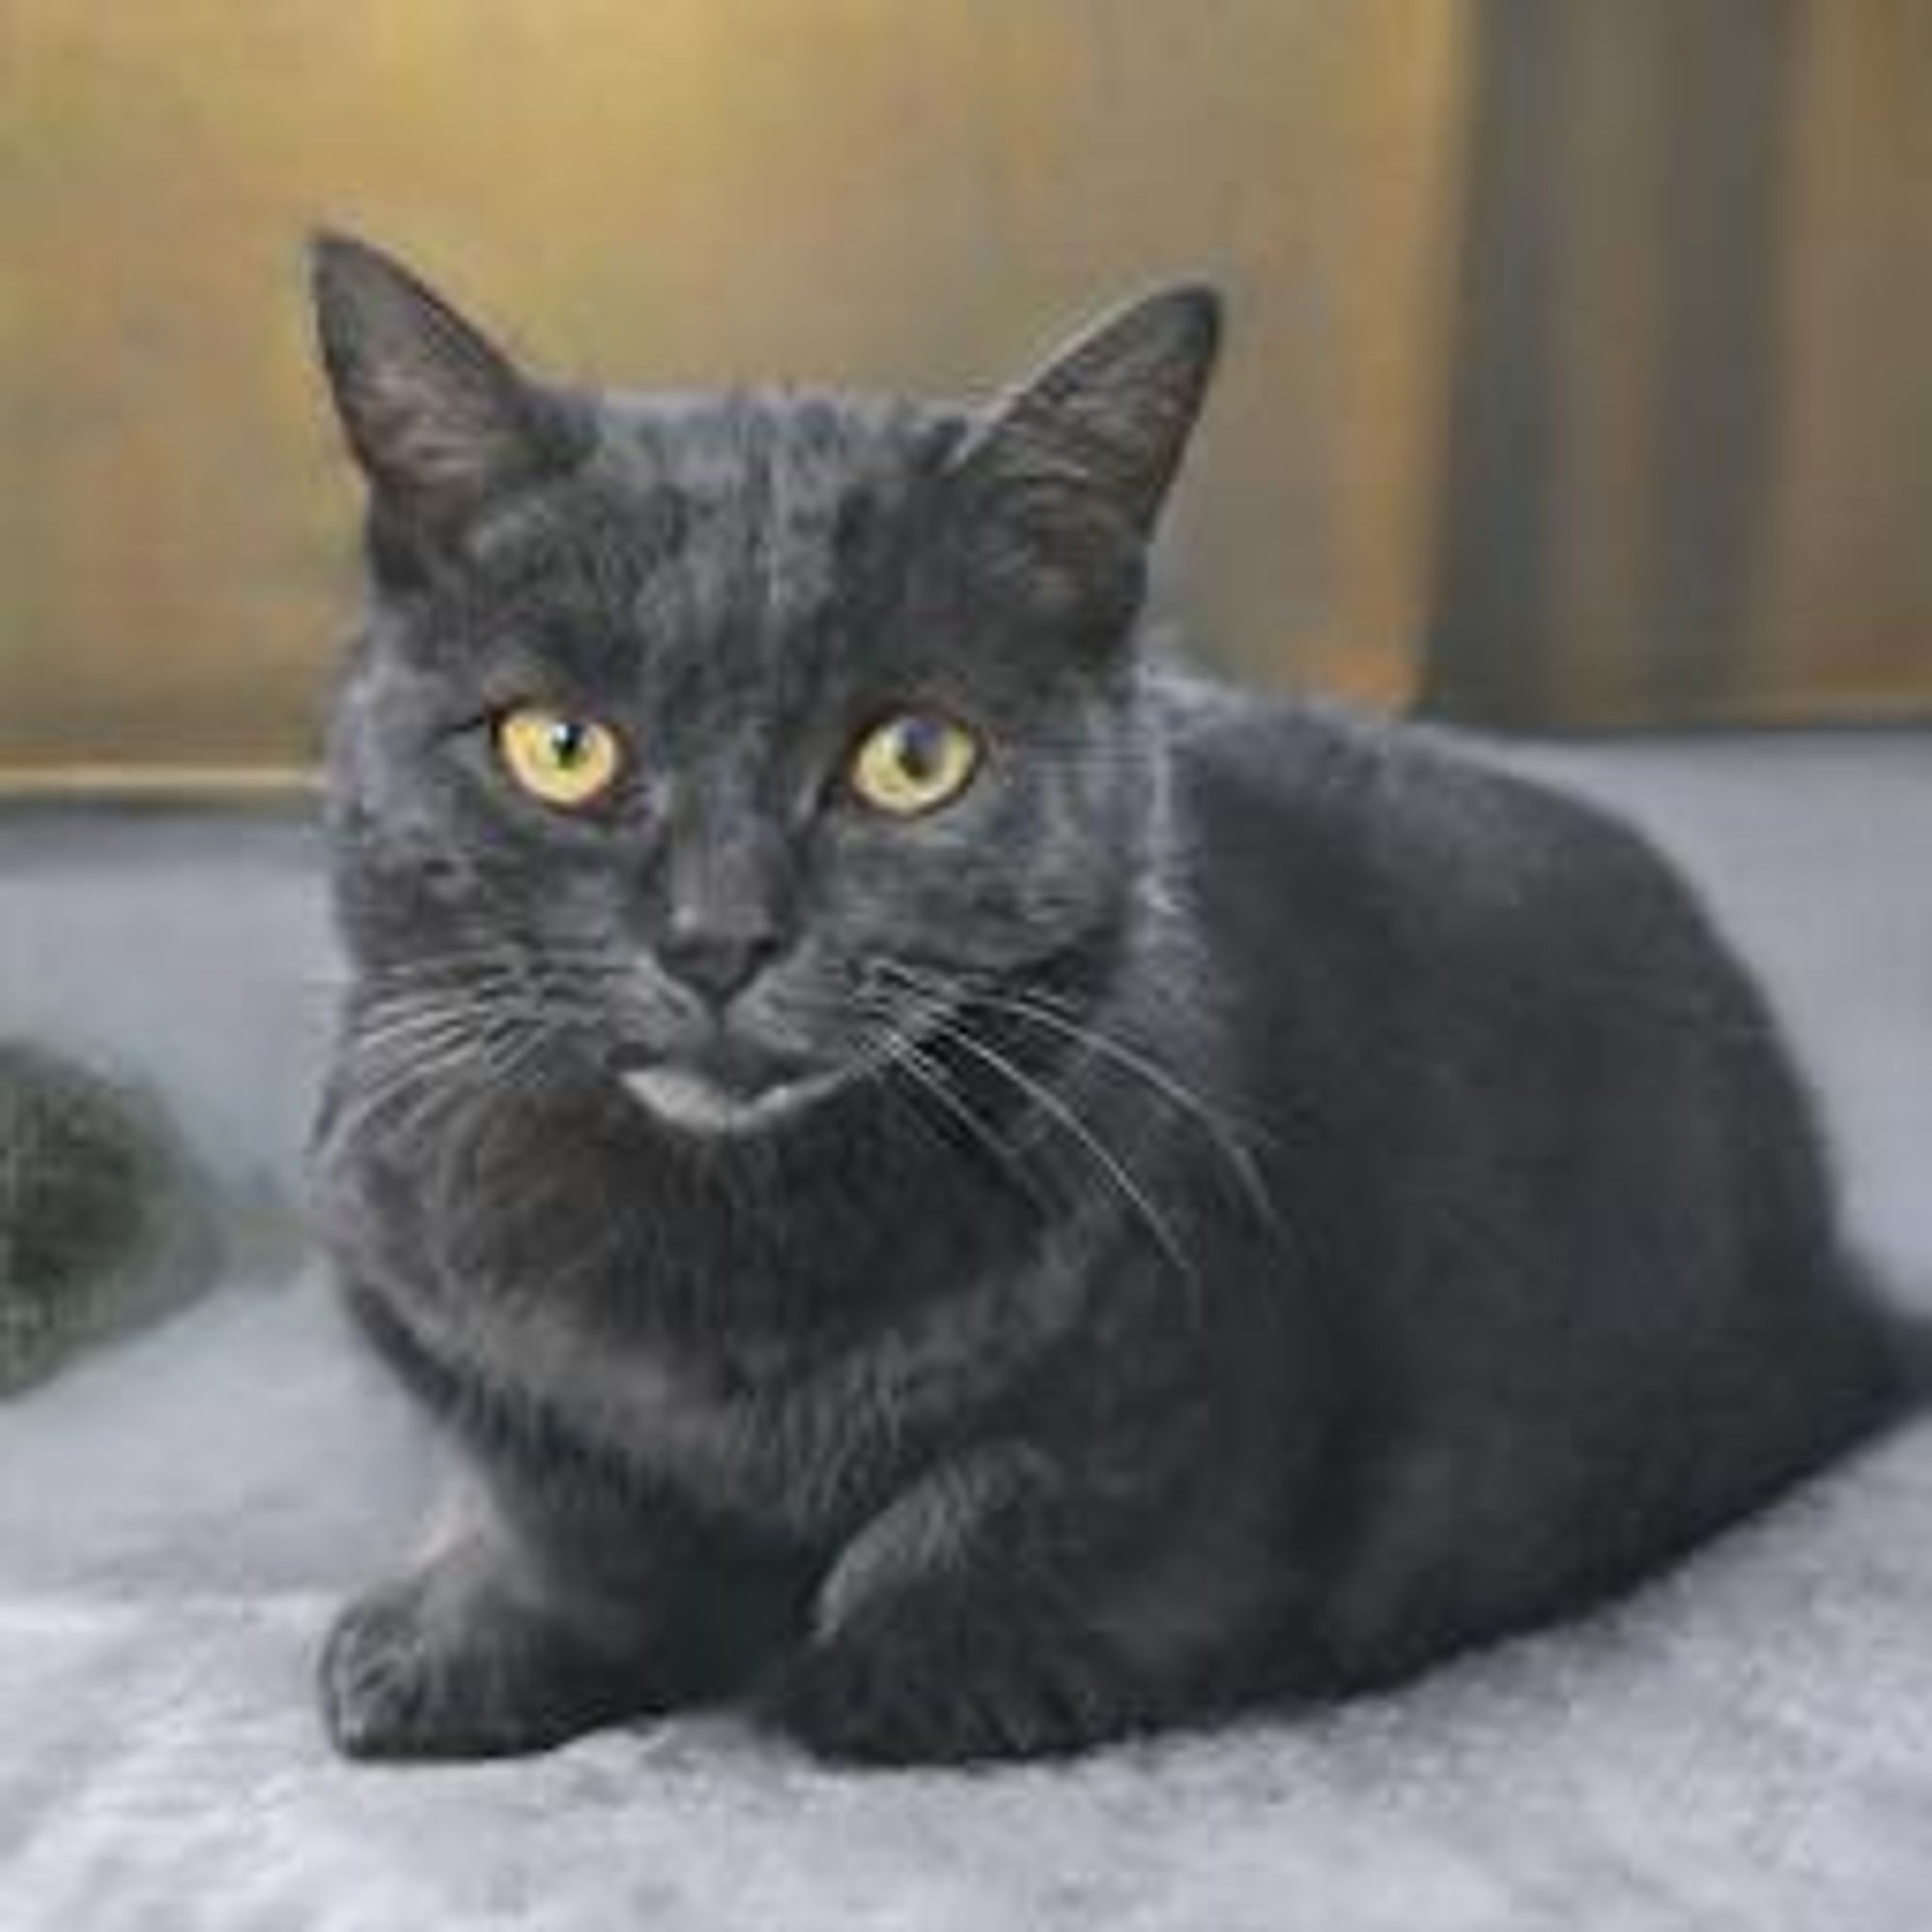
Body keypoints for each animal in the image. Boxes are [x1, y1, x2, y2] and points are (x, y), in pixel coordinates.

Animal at [309, 238, 1909, 1770]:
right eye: (560, 747)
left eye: (912, 760)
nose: (719, 937)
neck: (729, 1260)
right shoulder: (421, 1293)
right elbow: (542, 1488)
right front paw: (450, 1639)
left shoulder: (1196, 1356)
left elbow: (1005, 1507)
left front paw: (892, 1669)